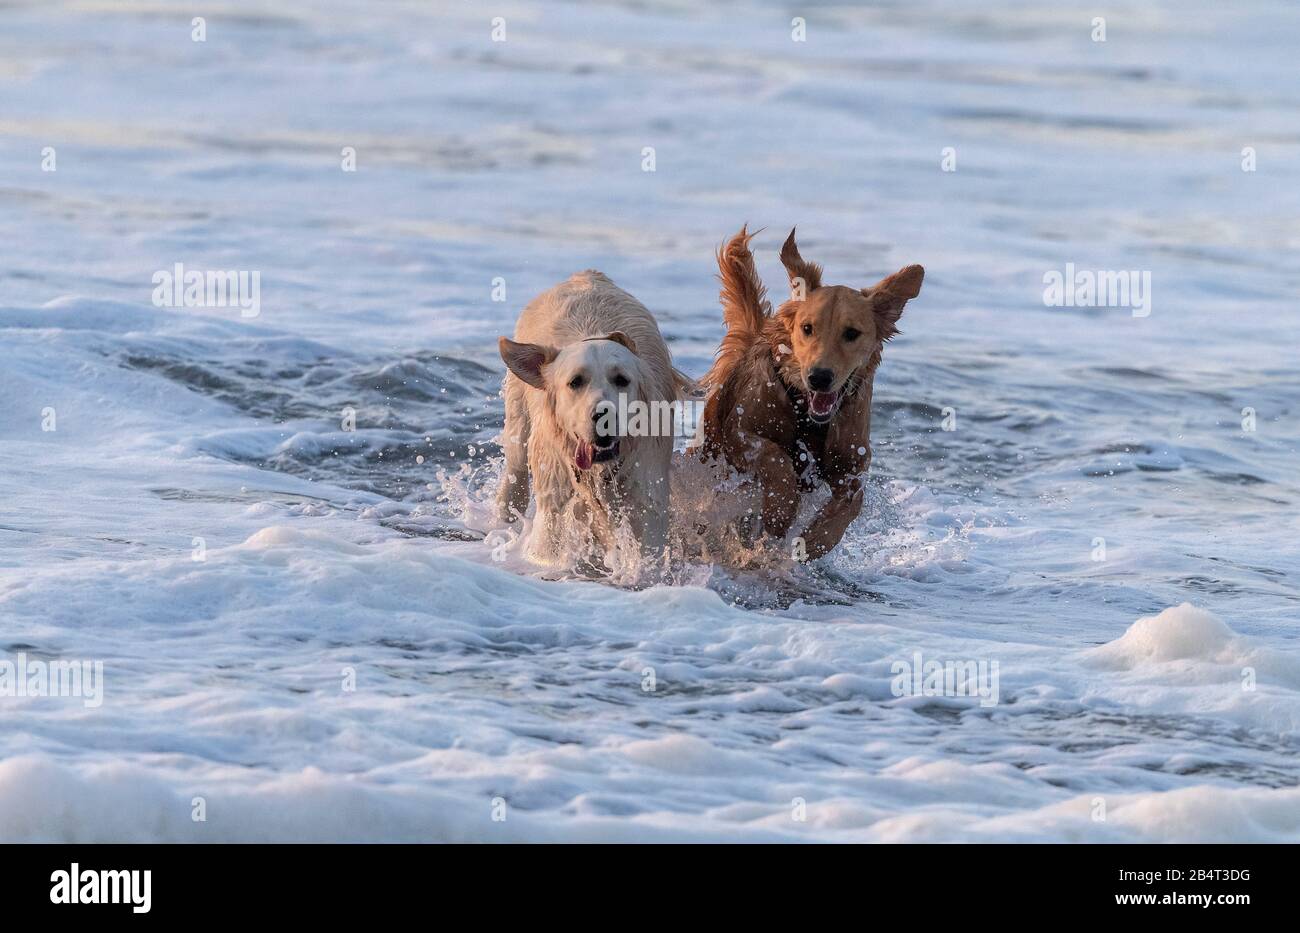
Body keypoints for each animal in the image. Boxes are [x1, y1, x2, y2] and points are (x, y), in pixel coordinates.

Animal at [496, 270, 681, 569]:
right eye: (575, 382)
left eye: (622, 380)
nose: (602, 416)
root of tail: (585, 275)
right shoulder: (556, 500)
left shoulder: (646, 493)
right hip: (518, 429)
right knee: (515, 475)